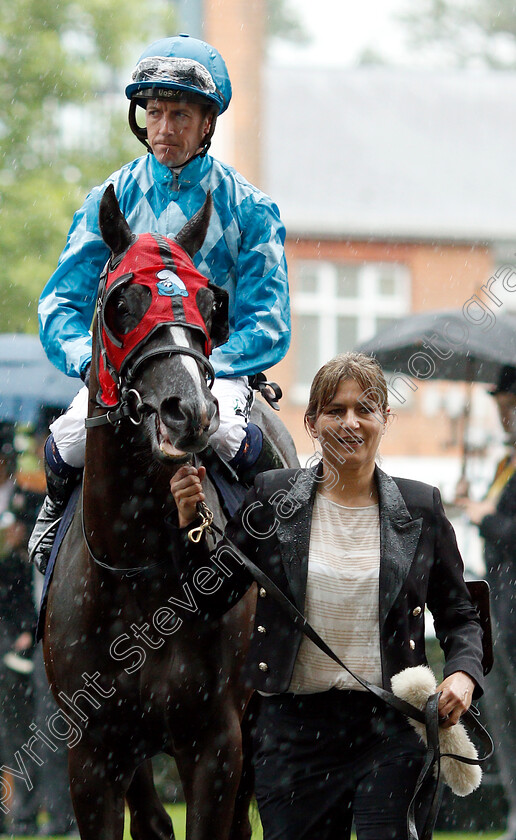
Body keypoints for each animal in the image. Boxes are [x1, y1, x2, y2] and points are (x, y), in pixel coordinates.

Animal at [42, 185, 300, 840]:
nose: (190, 411)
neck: (140, 571)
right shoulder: (93, 752)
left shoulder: (216, 741)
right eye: (120, 301)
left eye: (210, 302)